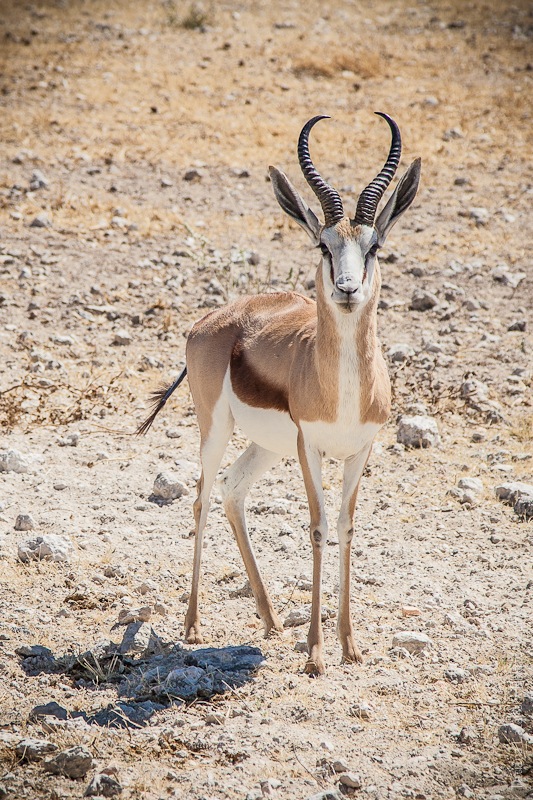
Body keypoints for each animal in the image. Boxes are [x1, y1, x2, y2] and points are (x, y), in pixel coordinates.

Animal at [137, 114, 420, 676]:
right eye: (323, 245)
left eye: (374, 246)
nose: (348, 289)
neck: (342, 390)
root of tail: (214, 319)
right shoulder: (310, 449)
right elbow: (316, 526)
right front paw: (315, 654)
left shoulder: (361, 450)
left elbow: (346, 526)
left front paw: (350, 646)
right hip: (216, 428)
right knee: (202, 496)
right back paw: (193, 624)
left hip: (267, 446)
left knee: (233, 491)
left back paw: (269, 619)